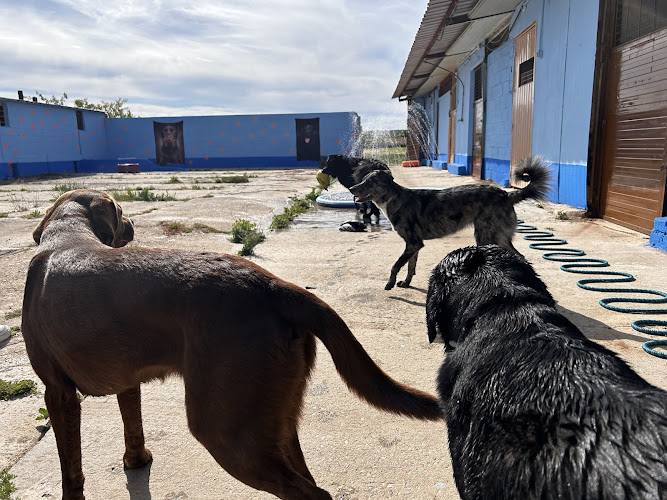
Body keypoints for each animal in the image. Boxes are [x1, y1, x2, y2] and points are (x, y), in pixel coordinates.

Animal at [22, 188, 444, 500]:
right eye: (122, 211)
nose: (131, 224)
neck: (67, 235)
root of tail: (276, 287)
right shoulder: (128, 378)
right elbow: (133, 423)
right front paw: (137, 460)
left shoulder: (56, 391)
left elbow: (70, 467)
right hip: (273, 421)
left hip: (224, 429)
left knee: (312, 493)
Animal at [348, 155, 552, 290]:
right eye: (363, 179)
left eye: (370, 182)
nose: (351, 189)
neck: (393, 198)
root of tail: (506, 195)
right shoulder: (414, 245)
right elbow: (411, 266)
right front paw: (406, 283)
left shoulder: (412, 243)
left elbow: (396, 264)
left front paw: (389, 283)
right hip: (498, 237)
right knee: (520, 256)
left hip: (486, 236)